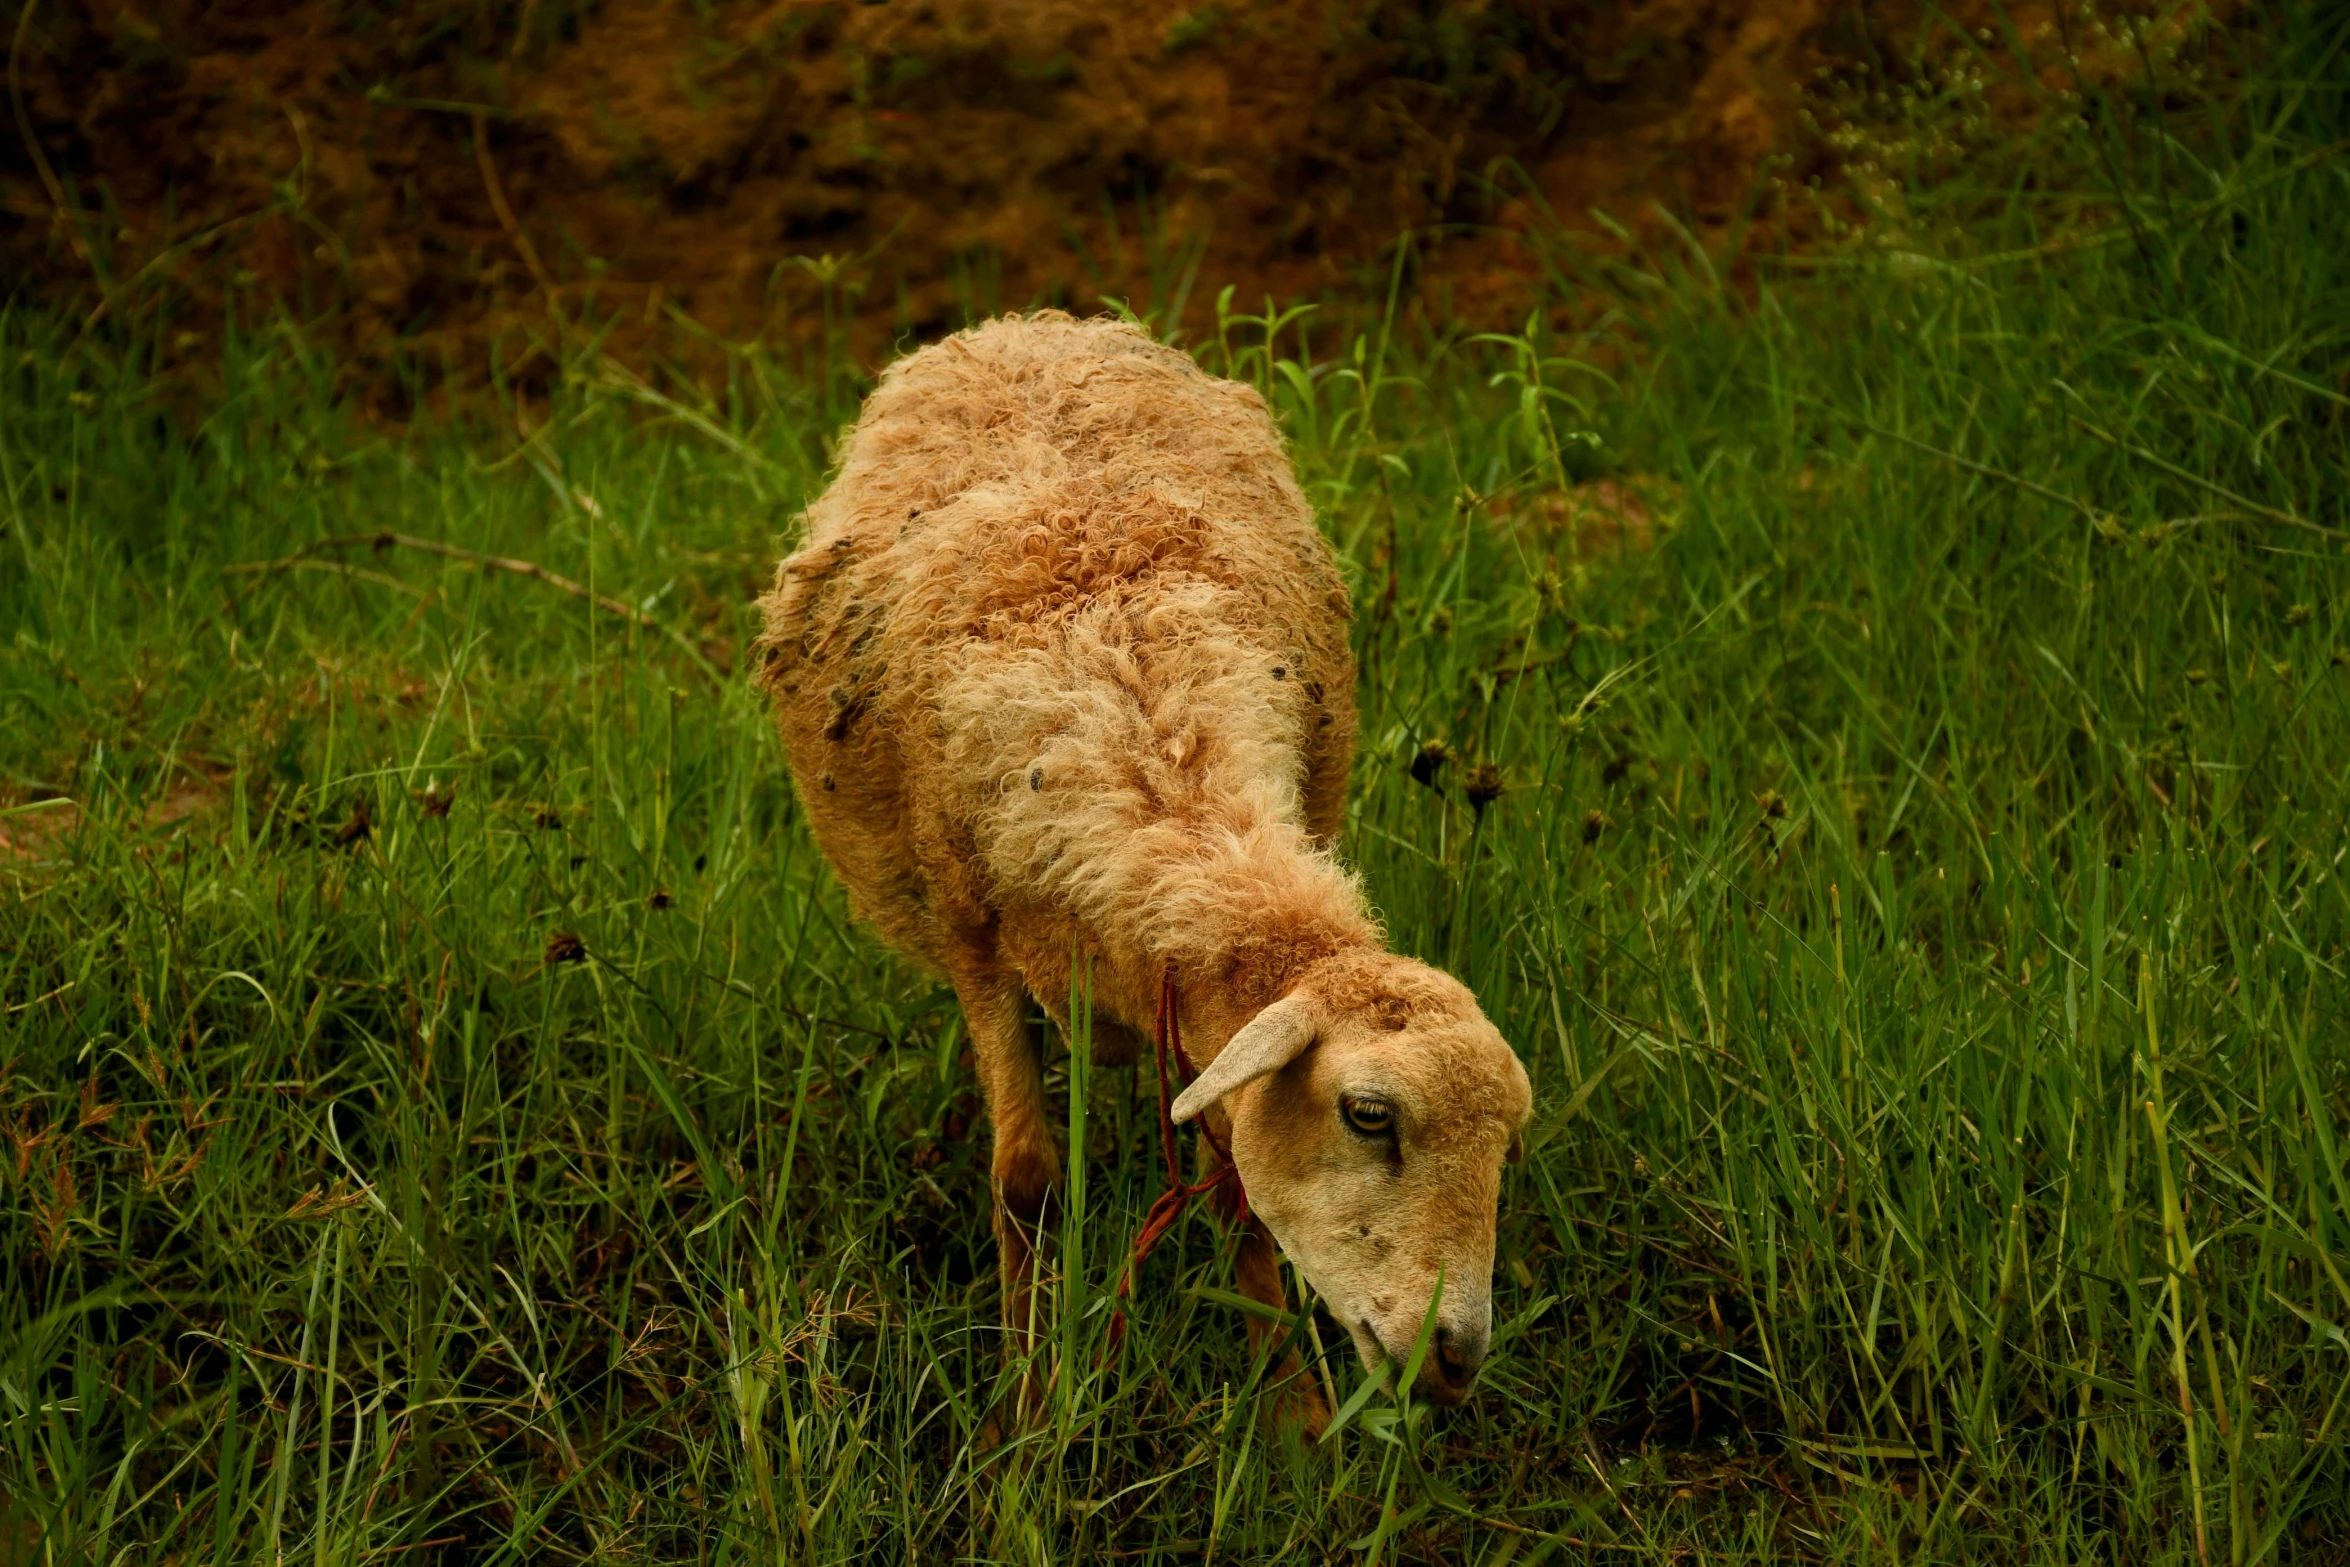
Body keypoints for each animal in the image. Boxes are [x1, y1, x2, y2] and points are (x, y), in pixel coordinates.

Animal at [747, 310, 1522, 1418]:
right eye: (1368, 1116)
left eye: (1507, 1141)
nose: (1454, 1355)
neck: (1167, 776)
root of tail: (1024, 325)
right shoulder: (974, 941)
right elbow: (1024, 1180)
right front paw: (1027, 1409)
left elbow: (1235, 1183)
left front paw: (1291, 1413)